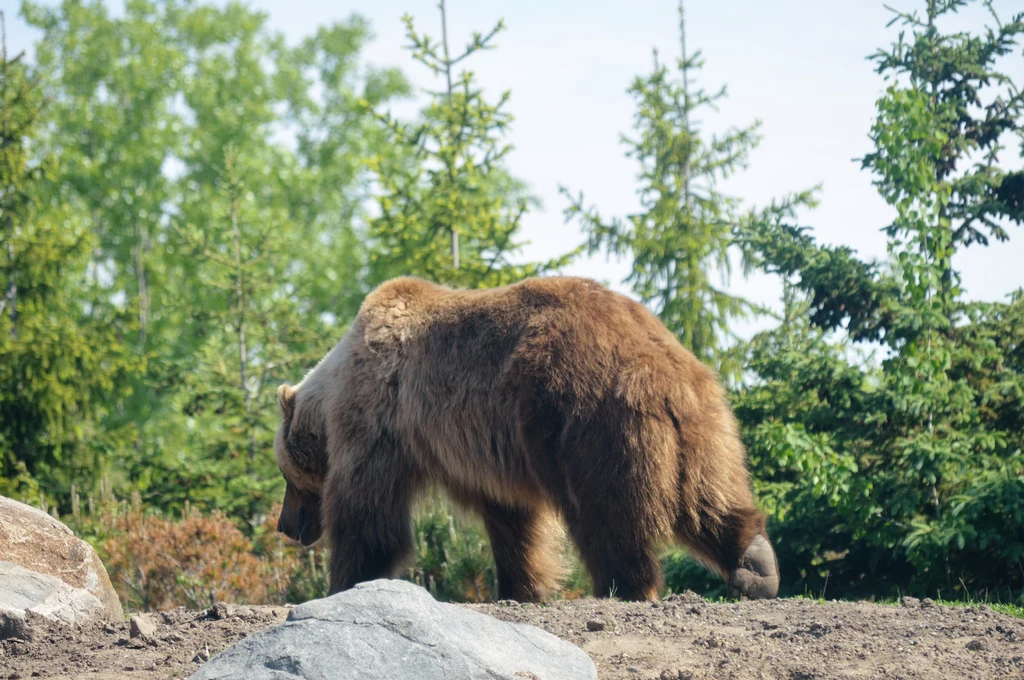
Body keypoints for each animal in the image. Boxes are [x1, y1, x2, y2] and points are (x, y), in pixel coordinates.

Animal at [276, 274, 778, 602]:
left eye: (286, 475)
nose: (285, 525)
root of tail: (660, 369)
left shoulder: (382, 418)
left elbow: (369, 512)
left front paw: (343, 581)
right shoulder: (488, 450)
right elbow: (513, 521)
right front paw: (522, 587)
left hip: (586, 420)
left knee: (608, 514)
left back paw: (623, 586)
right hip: (706, 426)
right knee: (708, 498)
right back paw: (756, 567)